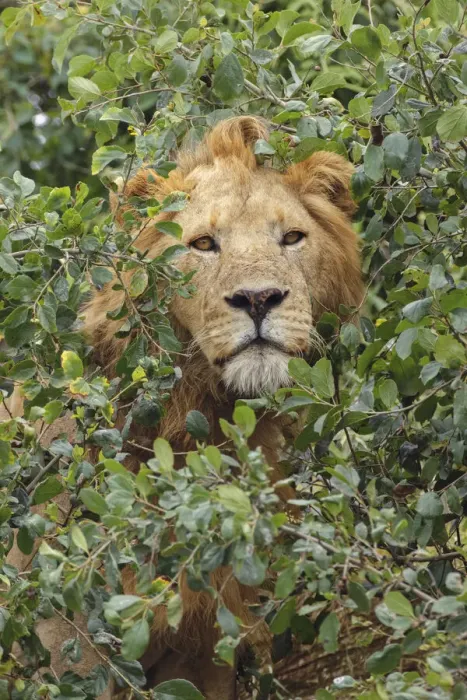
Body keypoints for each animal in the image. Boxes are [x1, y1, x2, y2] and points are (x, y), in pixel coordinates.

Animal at [3, 116, 363, 699]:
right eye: (202, 244)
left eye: (291, 237)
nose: (259, 299)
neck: (200, 421)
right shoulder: (62, 635)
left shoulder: (203, 641)